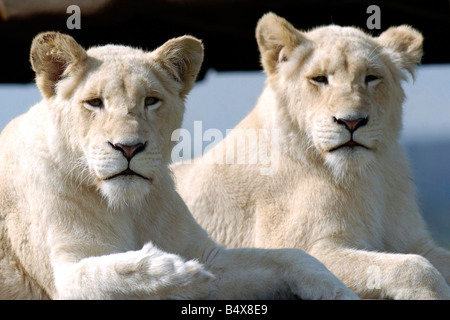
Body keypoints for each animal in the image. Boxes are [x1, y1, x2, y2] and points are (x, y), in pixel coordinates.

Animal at [0, 30, 356, 300]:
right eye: (94, 103)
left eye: (150, 100)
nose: (129, 147)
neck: (129, 207)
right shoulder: (67, 273)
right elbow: (108, 274)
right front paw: (179, 272)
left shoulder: (210, 253)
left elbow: (293, 256)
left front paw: (341, 292)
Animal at [174, 13, 450, 300]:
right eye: (319, 78)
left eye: (372, 78)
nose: (352, 122)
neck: (363, 178)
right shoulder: (308, 246)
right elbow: (415, 267)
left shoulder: (415, 241)